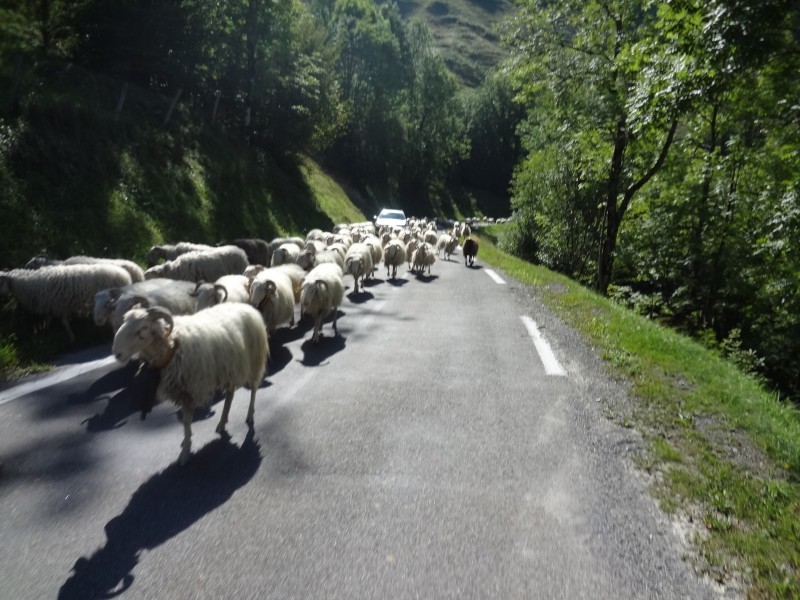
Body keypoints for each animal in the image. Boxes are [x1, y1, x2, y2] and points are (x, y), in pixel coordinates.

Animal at [1, 264, 133, 342]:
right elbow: (49, 319)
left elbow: (64, 322)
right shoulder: (52, 305)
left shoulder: (59, 305)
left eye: (0, 281)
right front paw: (44, 330)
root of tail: (124, 273)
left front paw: (71, 337)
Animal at [111, 304, 268, 464]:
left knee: (254, 388)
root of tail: (245, 306)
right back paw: (222, 423)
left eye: (143, 328)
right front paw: (186, 442)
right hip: (231, 367)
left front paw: (185, 451)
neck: (173, 346)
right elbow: (185, 422)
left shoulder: (189, 391)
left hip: (255, 359)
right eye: (124, 322)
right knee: (230, 395)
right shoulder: (181, 391)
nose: (117, 353)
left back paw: (250, 415)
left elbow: (186, 422)